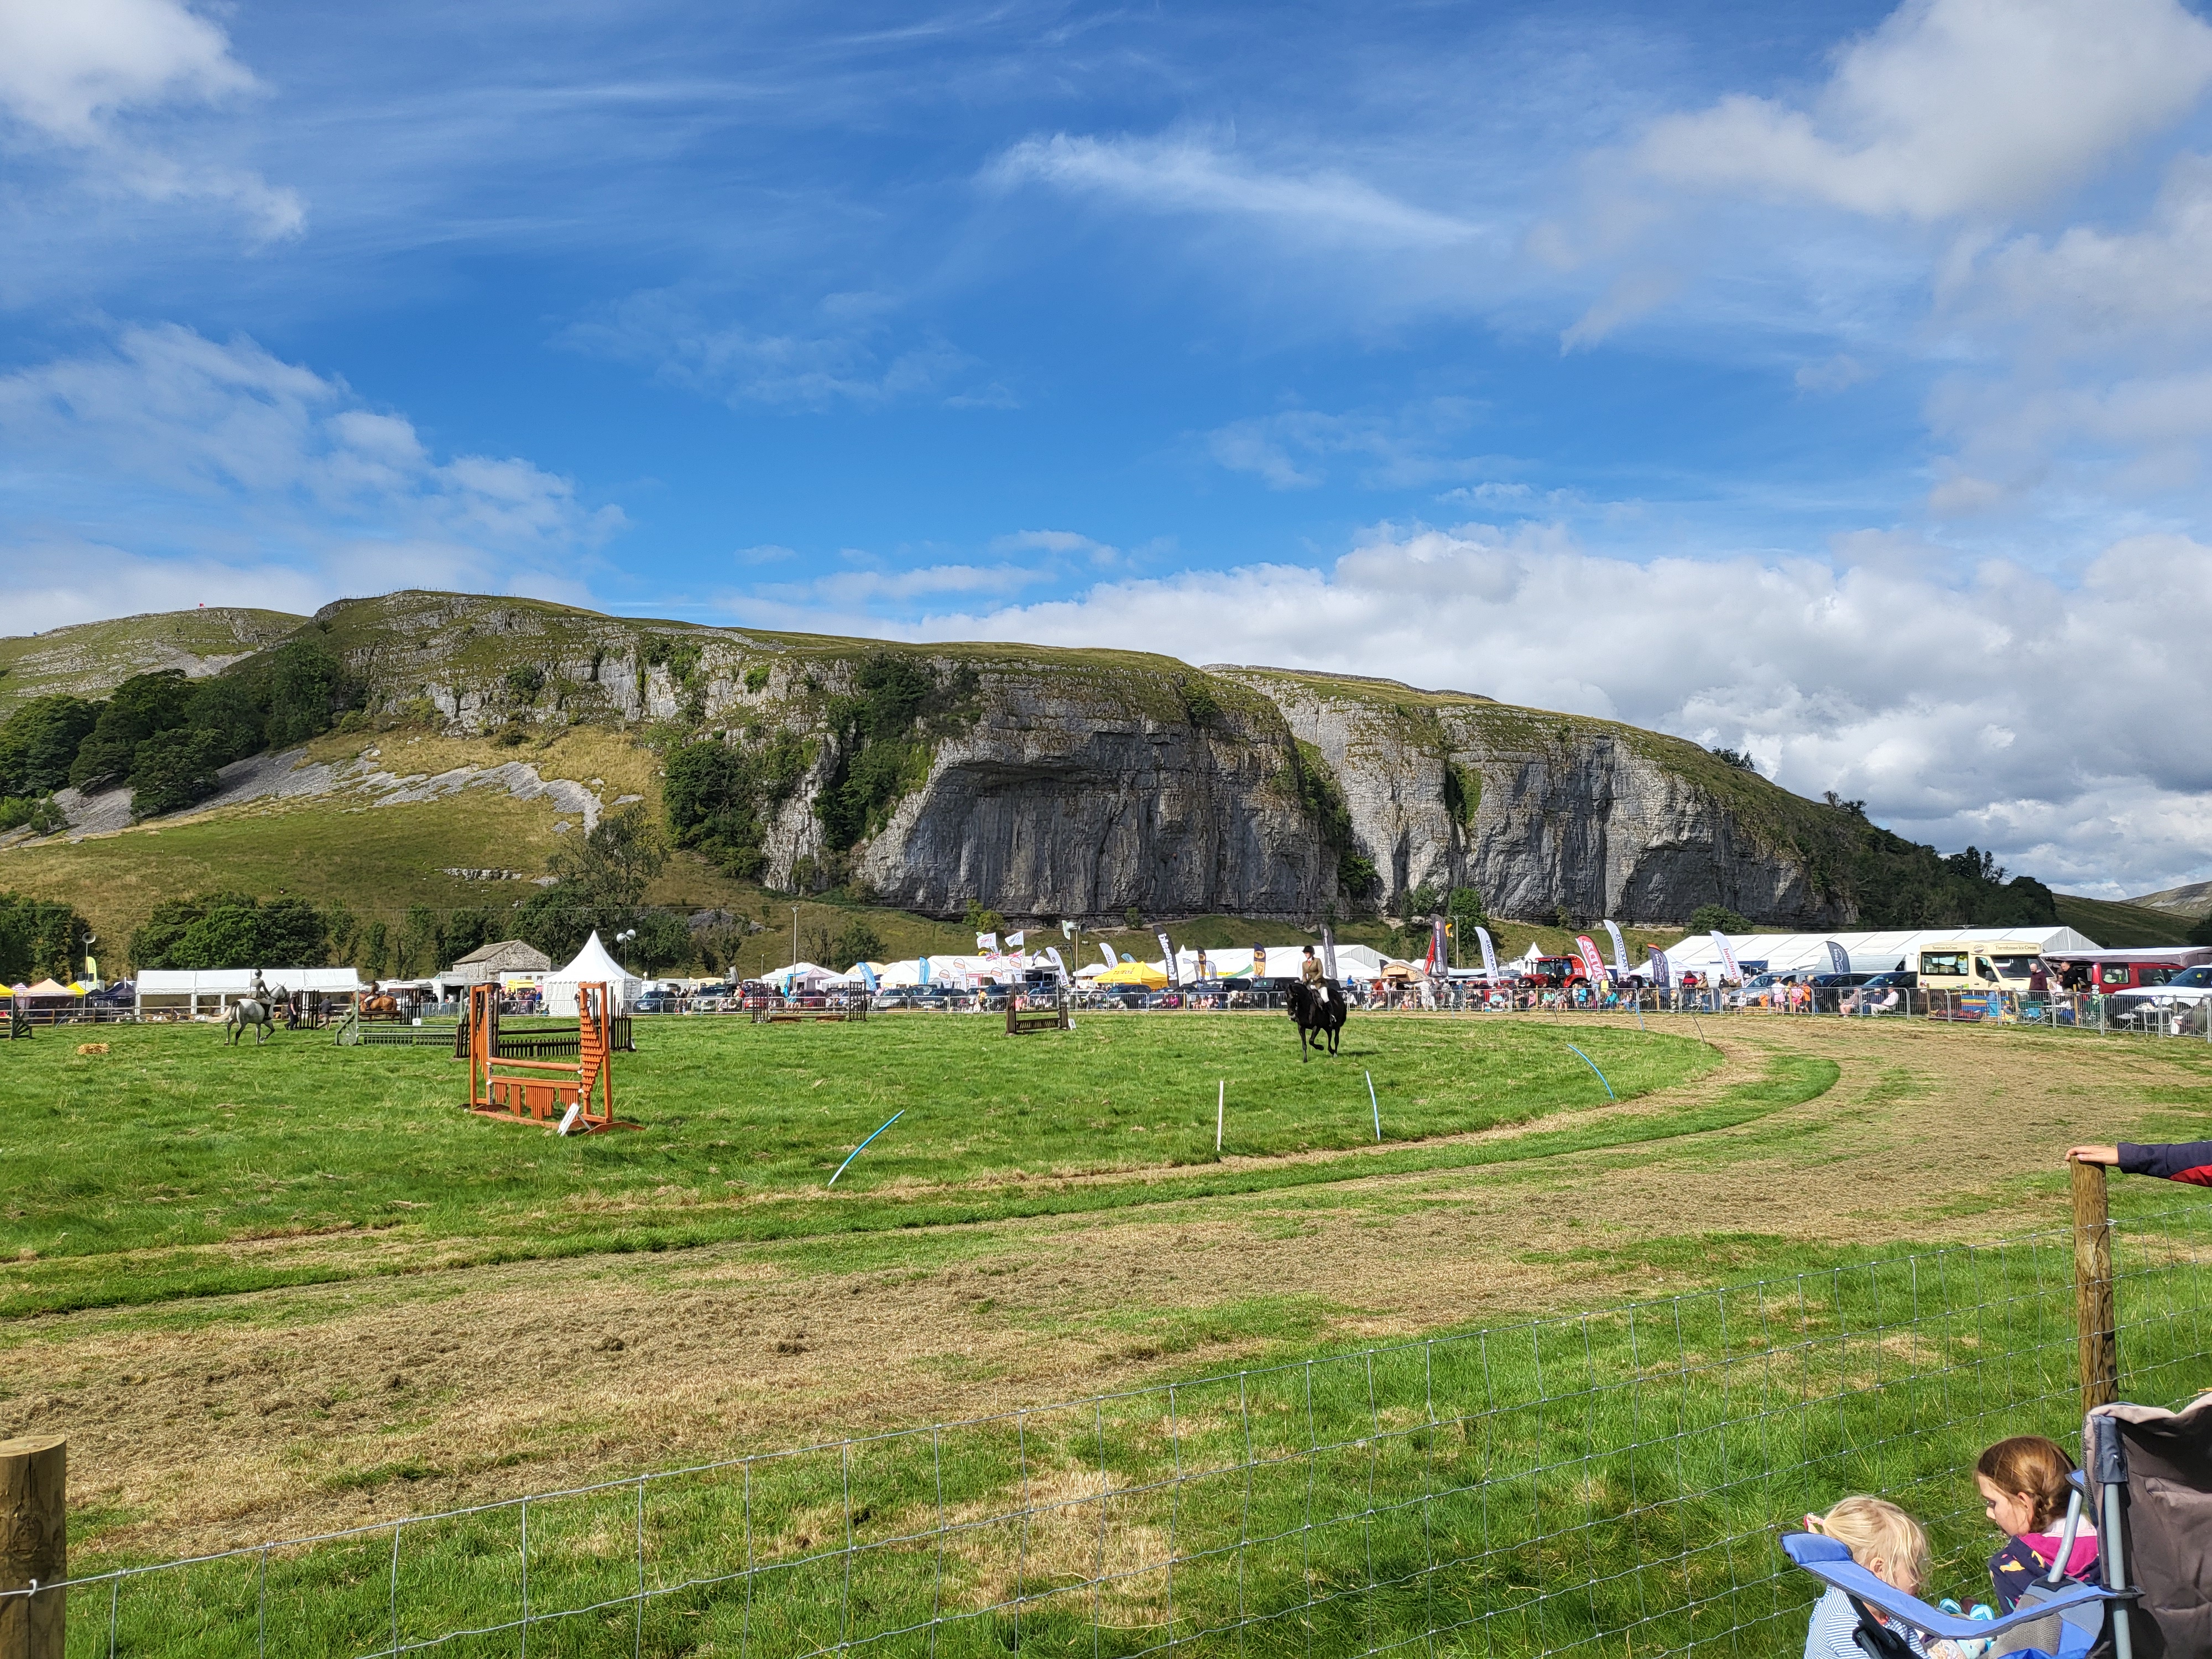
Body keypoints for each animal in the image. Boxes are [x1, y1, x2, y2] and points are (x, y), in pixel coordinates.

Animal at [1283, 982, 1345, 1057]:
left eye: (1293, 997)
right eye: (1285, 998)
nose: (1291, 1013)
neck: (1307, 1007)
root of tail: (1339, 997)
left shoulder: (1317, 1027)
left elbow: (1311, 1041)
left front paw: (1321, 1047)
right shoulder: (1301, 1027)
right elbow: (1304, 1045)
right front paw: (1305, 1059)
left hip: (1337, 1026)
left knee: (1336, 1039)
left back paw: (1335, 1054)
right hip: (1327, 1026)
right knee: (1330, 1035)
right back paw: (1331, 1050)